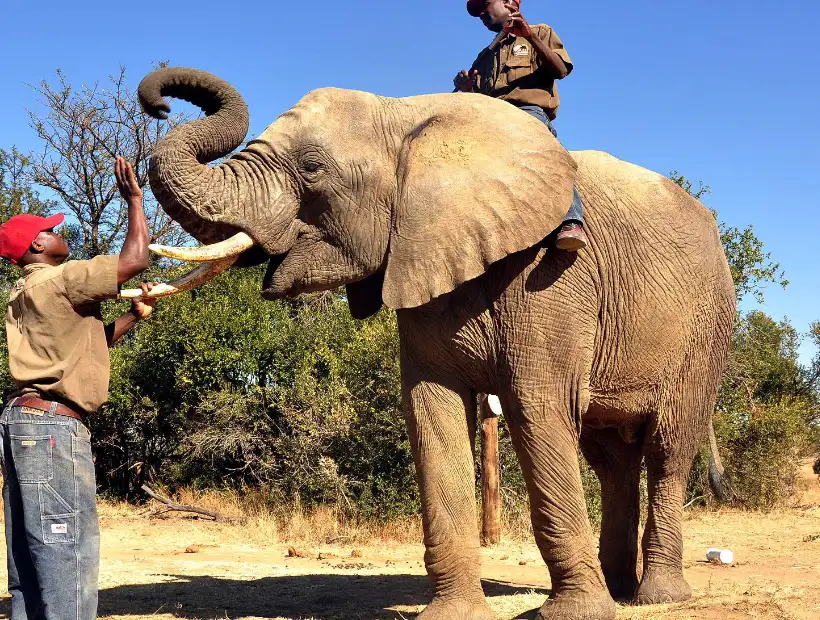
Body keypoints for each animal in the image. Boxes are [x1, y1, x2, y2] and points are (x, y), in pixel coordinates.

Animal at [134, 67, 736, 620]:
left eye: (313, 169)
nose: (160, 103)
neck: (408, 118)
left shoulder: (550, 278)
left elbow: (538, 410)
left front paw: (574, 615)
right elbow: (431, 413)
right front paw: (454, 616)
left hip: (705, 327)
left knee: (666, 449)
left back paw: (655, 598)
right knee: (610, 457)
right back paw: (618, 590)